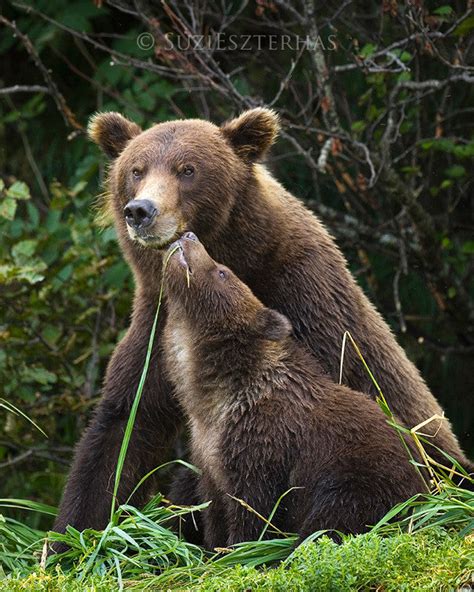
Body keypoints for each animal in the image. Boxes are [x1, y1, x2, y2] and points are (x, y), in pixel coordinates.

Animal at [52, 108, 470, 540]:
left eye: (188, 169)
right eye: (136, 169)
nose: (141, 211)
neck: (239, 258)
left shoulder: (305, 303)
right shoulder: (156, 322)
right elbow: (122, 428)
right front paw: (72, 539)